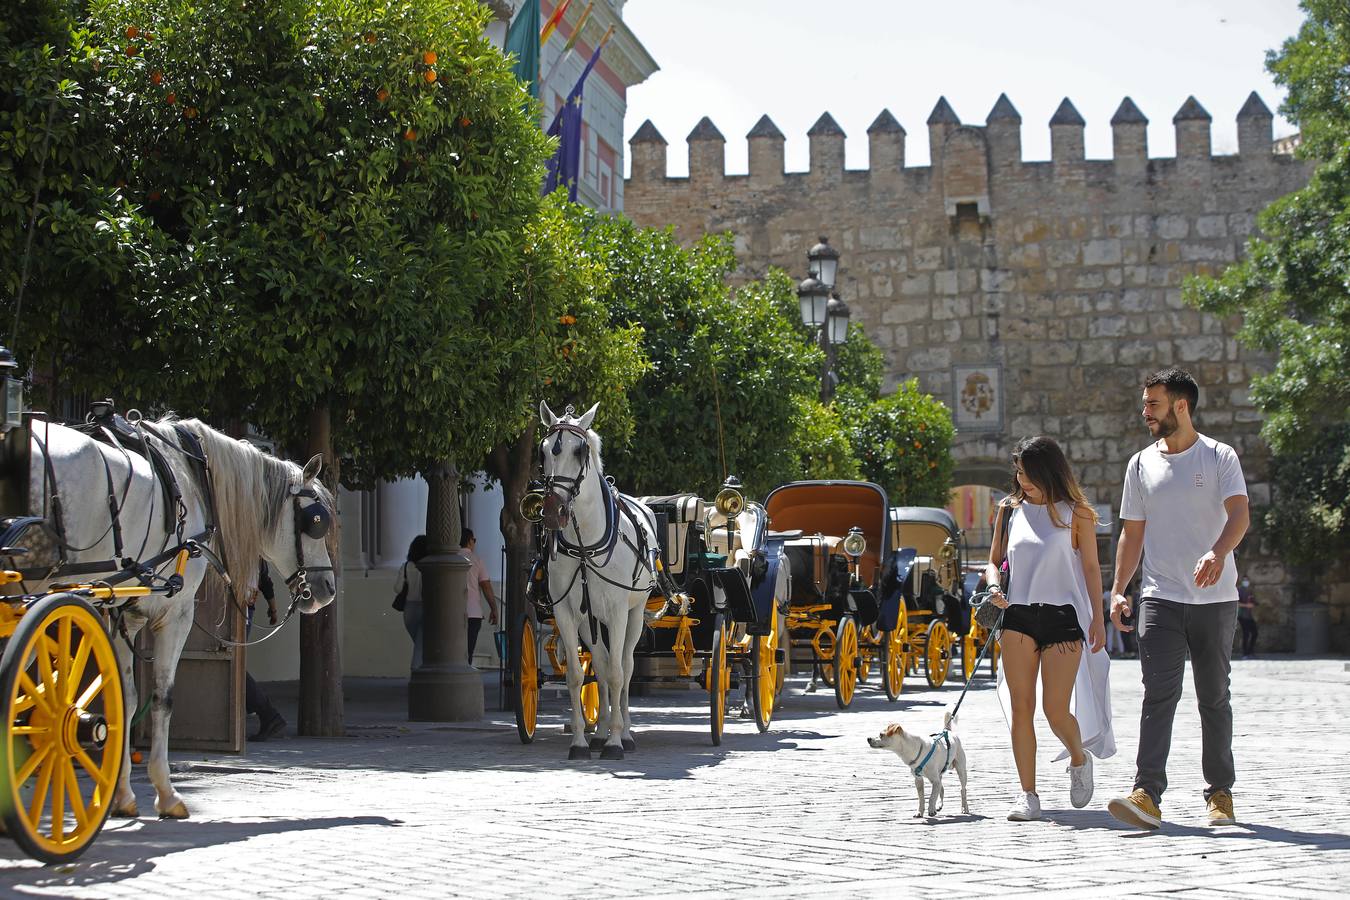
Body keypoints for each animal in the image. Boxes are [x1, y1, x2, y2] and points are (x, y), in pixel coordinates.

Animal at [18, 418, 337, 820]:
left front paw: (122, 794)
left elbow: (126, 696)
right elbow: (162, 697)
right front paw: (165, 793)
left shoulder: (124, 614)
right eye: (316, 521)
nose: (328, 587)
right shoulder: (178, 613)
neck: (191, 476)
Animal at [537, 402, 664, 761]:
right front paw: (582, 741)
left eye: (580, 451)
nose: (553, 512)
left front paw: (616, 743)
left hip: (633, 615)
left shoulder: (619, 612)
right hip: (589, 622)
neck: (585, 547)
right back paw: (603, 730)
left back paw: (626, 733)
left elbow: (620, 674)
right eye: (542, 452)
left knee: (625, 665)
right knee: (604, 666)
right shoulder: (567, 614)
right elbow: (578, 677)